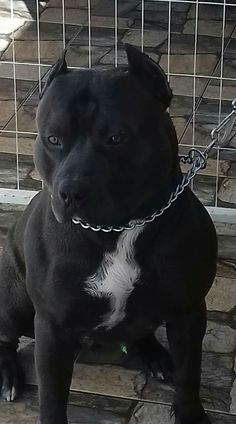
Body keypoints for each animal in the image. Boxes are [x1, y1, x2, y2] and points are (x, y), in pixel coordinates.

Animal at [0, 44, 218, 422]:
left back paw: (156, 355)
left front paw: (190, 412)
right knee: (5, 338)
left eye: (117, 138)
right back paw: (10, 376)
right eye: (53, 138)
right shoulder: (52, 328)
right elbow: (52, 398)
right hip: (13, 300)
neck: (118, 230)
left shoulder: (189, 312)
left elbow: (190, 373)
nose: (71, 192)